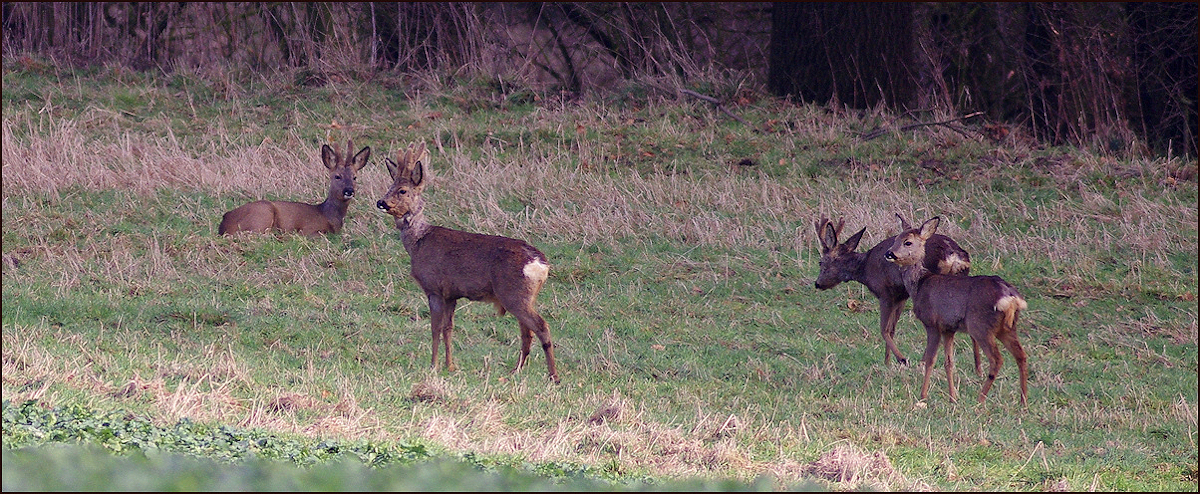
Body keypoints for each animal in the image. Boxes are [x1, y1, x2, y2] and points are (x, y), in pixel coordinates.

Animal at [219, 139, 369, 236]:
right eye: (337, 176)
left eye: (354, 177)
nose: (349, 190)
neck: (328, 216)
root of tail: (224, 223)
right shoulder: (307, 229)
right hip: (262, 214)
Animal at [376, 140, 559, 383]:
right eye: (390, 186)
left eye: (402, 190)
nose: (381, 202)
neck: (418, 242)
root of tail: (541, 264)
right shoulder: (452, 294)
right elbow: (448, 328)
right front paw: (450, 365)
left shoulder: (434, 288)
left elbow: (435, 328)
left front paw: (433, 365)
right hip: (524, 296)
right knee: (527, 331)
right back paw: (515, 370)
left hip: (513, 293)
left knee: (541, 326)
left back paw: (553, 376)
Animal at [811, 214, 979, 371]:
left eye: (820, 262)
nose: (817, 283)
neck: (864, 270)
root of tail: (954, 255)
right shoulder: (900, 296)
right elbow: (892, 329)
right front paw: (887, 362)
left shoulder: (885, 292)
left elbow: (884, 329)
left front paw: (901, 359)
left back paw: (923, 362)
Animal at [888, 215, 1027, 405]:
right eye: (895, 239)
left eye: (907, 242)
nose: (889, 253)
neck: (919, 285)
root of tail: (1010, 297)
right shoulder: (949, 328)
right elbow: (949, 362)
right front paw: (953, 397)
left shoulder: (932, 323)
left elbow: (930, 360)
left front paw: (923, 396)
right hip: (1007, 327)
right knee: (1021, 356)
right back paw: (1023, 401)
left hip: (980, 326)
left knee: (997, 360)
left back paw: (980, 399)